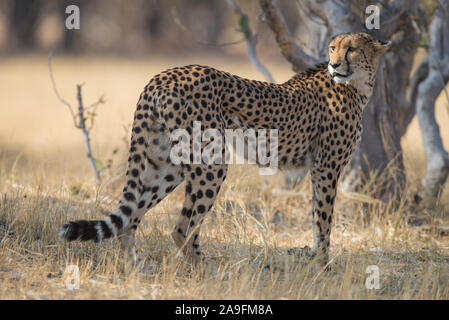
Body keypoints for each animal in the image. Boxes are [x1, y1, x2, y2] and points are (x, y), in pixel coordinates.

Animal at [58, 31, 388, 268]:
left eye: (351, 49)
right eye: (332, 48)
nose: (334, 64)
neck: (358, 86)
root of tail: (162, 74)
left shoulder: (319, 168)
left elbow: (317, 216)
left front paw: (317, 263)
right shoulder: (326, 167)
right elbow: (323, 219)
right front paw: (323, 267)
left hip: (165, 163)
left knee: (130, 219)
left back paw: (136, 267)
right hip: (211, 161)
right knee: (181, 228)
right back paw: (208, 272)